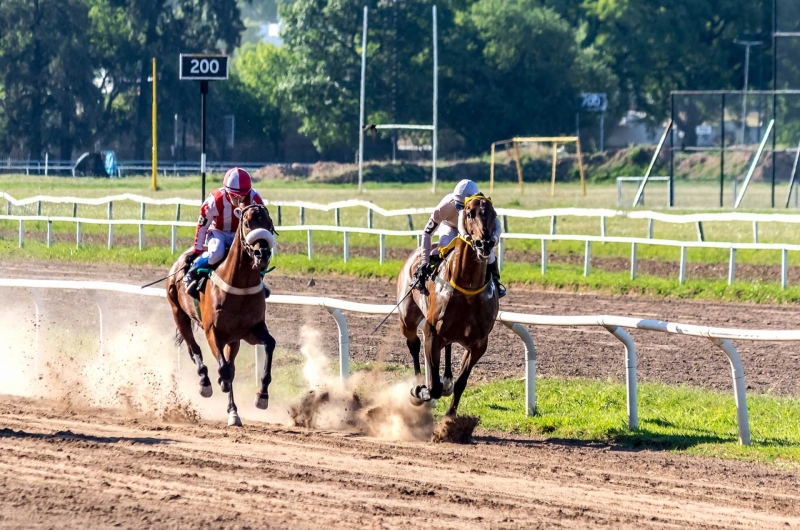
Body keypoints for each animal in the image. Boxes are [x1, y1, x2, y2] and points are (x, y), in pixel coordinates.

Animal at [166, 202, 278, 424]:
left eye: (269, 223)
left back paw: (233, 411)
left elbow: (269, 344)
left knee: (229, 362)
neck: (240, 286)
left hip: (233, 339)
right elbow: (224, 370)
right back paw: (205, 382)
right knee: (194, 349)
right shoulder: (212, 331)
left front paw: (262, 396)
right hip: (179, 314)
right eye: (247, 223)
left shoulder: (252, 330)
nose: (262, 254)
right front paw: (218, 382)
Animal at [396, 194, 500, 416]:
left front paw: (450, 416)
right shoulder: (431, 333)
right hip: (407, 319)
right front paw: (421, 391)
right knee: (413, 344)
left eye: (494, 214)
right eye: (469, 213)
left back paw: (447, 381)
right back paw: (418, 386)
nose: (484, 244)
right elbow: (432, 387)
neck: (467, 289)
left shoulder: (479, 343)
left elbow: (461, 382)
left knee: (448, 347)